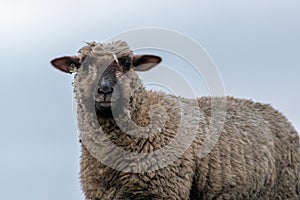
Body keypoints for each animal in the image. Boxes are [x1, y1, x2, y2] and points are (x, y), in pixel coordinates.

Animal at [50, 40, 298, 200]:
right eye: (83, 64)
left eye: (127, 63)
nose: (104, 90)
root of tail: (276, 112)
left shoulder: (164, 189)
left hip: (286, 190)